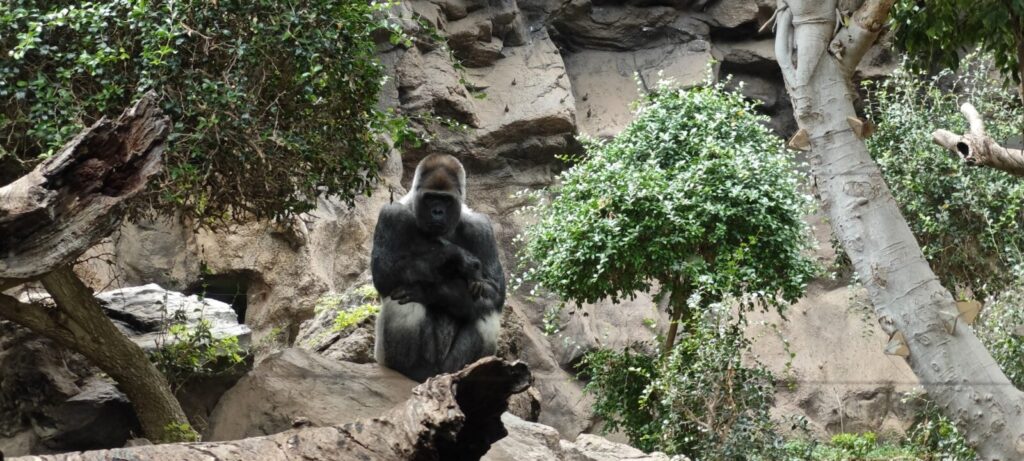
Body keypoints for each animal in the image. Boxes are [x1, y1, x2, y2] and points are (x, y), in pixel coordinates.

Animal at [371, 153, 505, 382]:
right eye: (430, 198)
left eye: (446, 200)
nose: (437, 212)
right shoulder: (392, 214)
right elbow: (384, 273)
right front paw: (454, 256)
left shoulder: (482, 227)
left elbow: (494, 291)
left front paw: (432, 291)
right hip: (384, 358)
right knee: (402, 297)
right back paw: (412, 369)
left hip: (446, 368)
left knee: (485, 312)